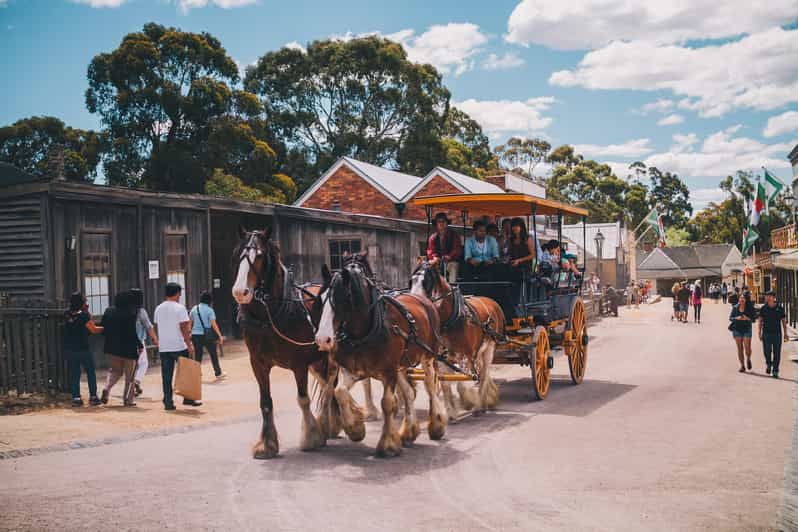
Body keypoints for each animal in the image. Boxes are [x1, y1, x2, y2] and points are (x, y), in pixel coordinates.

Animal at [230, 227, 340, 460]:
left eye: (260, 255)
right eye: (238, 255)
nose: (240, 292)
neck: (270, 317)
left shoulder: (299, 364)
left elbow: (303, 399)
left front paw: (310, 438)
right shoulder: (258, 363)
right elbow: (265, 403)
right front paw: (267, 445)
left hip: (330, 355)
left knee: (330, 386)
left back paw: (329, 425)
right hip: (316, 361)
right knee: (326, 385)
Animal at [314, 254, 450, 458]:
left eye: (341, 299)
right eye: (320, 298)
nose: (323, 339)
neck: (366, 330)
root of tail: (423, 299)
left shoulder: (388, 372)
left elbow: (388, 403)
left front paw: (388, 445)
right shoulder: (353, 370)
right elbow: (340, 392)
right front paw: (355, 429)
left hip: (428, 357)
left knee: (430, 386)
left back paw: (436, 425)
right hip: (401, 364)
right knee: (408, 392)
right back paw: (409, 431)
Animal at [412, 258, 506, 416]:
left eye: (426, 282)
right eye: (411, 280)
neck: (449, 320)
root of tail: (492, 302)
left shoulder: (466, 355)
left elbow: (462, 383)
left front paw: (468, 402)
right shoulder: (441, 358)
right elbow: (445, 383)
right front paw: (451, 411)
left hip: (489, 349)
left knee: (484, 374)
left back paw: (482, 403)